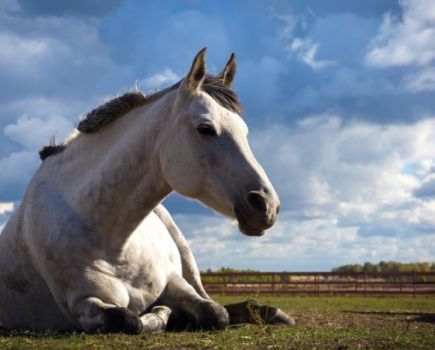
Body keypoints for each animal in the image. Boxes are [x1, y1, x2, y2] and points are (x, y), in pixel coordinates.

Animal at [0, 49, 294, 334]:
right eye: (205, 128)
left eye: (244, 130)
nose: (267, 205)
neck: (113, 242)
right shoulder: (83, 304)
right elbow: (130, 320)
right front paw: (164, 315)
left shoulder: (175, 280)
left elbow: (216, 312)